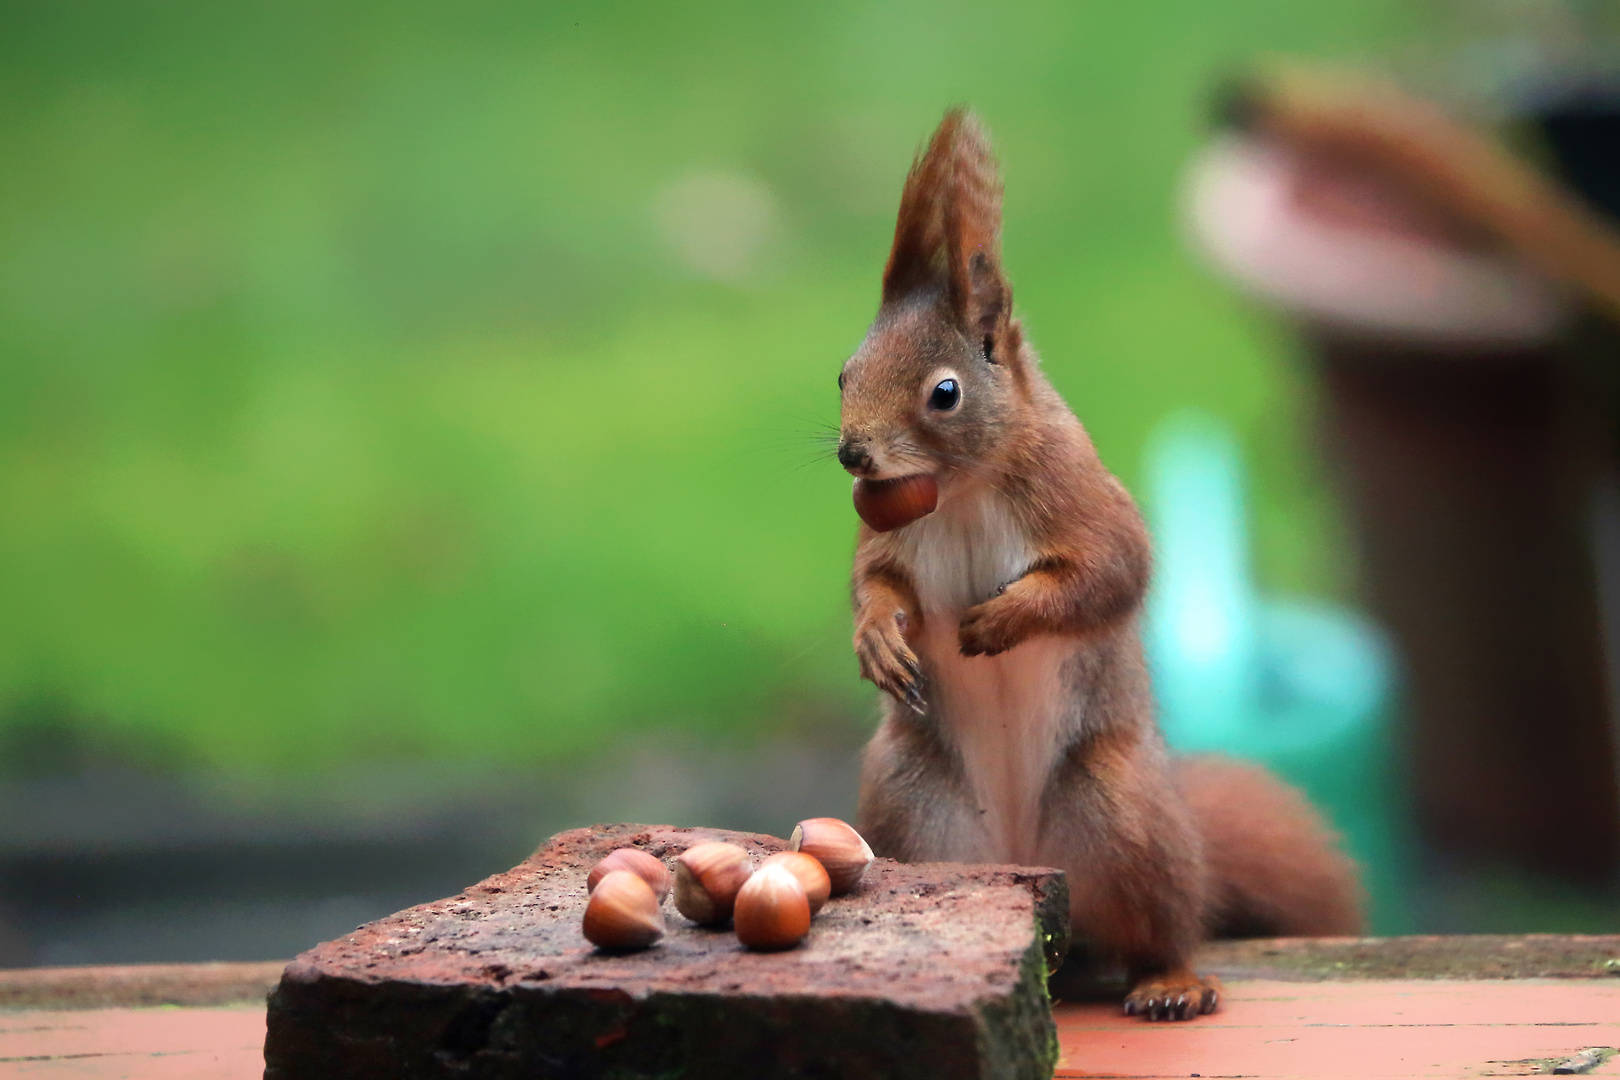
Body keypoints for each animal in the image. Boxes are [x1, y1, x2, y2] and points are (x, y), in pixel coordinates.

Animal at [842, 110, 1360, 1023]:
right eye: (843, 373)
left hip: (1123, 815)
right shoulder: (892, 537)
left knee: (1162, 928)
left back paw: (1172, 983)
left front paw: (1004, 617)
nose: (851, 455)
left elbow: (1110, 575)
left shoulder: (1080, 498)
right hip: (911, 808)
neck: (962, 490)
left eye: (945, 392)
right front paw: (877, 641)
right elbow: (880, 585)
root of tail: (1027, 869)